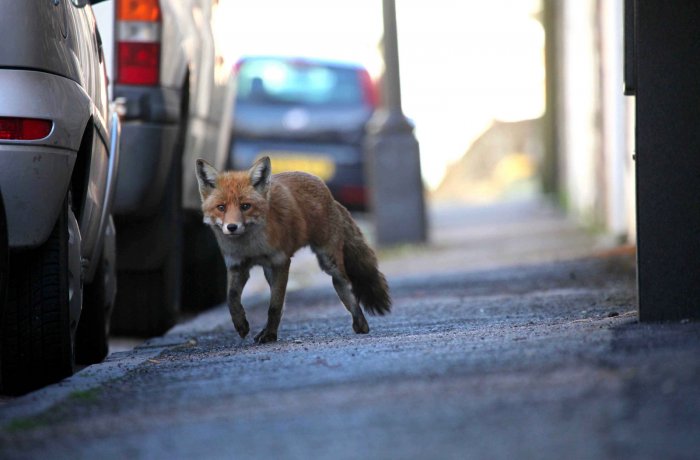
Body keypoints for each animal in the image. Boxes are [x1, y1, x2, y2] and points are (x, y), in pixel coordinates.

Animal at [196, 156, 388, 344]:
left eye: (245, 206)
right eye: (221, 207)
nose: (232, 227)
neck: (251, 247)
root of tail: (330, 195)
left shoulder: (280, 262)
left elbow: (274, 306)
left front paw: (270, 335)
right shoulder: (237, 266)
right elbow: (232, 299)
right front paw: (241, 324)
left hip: (329, 262)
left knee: (346, 287)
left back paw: (361, 323)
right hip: (271, 271)